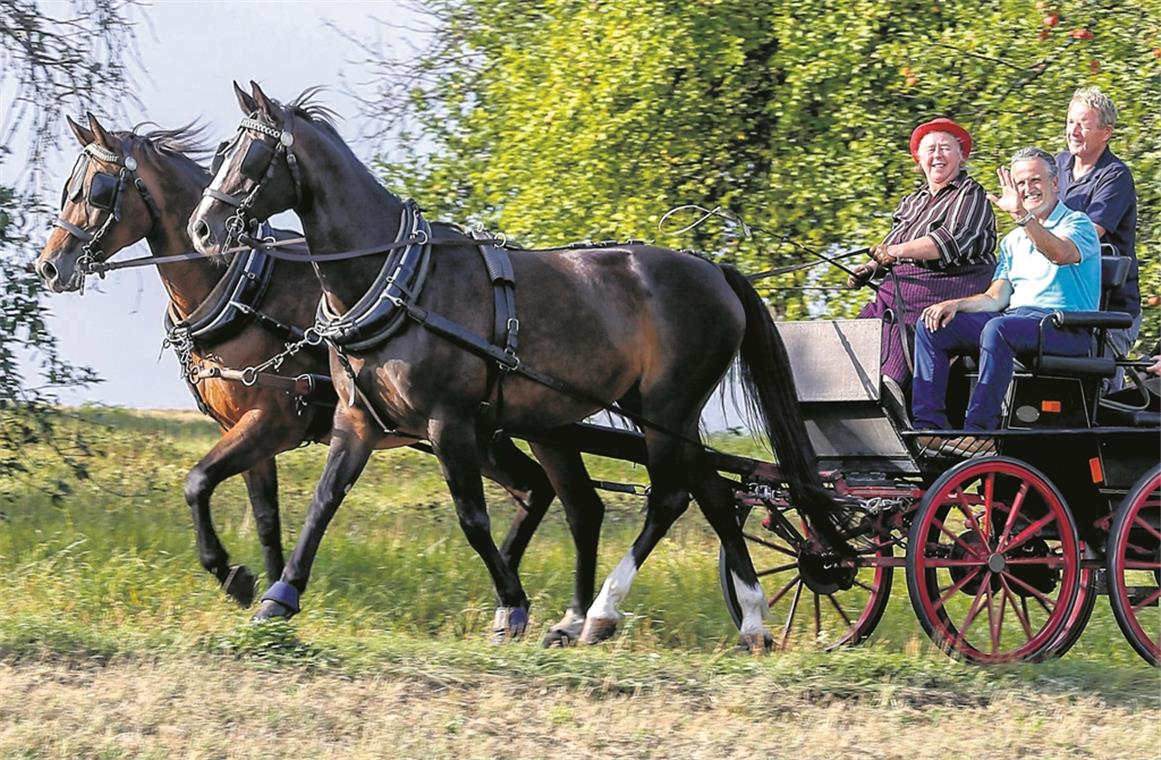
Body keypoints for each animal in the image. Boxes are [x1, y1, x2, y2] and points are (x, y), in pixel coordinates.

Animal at [36, 113, 608, 640]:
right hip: (486, 430)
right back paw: (516, 589)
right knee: (538, 490)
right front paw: (271, 591)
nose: (50, 265)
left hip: (514, 428)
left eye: (96, 189)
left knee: (566, 499)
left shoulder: (273, 420)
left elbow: (197, 482)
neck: (239, 286)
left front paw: (234, 577)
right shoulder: (243, 428)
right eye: (68, 187)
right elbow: (266, 517)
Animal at [188, 83, 845, 649]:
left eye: (253, 154)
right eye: (222, 151)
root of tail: (712, 269)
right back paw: (750, 620)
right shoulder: (357, 420)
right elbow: (323, 501)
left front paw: (512, 604)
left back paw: (603, 613)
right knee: (703, 494)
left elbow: (473, 519)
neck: (399, 279)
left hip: (668, 407)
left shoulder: (449, 423)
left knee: (671, 498)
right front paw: (278, 598)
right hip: (635, 416)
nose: (202, 228)